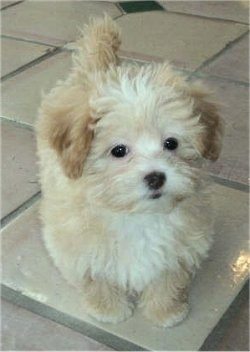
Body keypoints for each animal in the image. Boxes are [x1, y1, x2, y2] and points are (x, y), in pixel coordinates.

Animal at [36, 14, 225, 328]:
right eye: (119, 151)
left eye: (171, 143)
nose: (156, 177)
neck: (138, 217)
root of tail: (99, 67)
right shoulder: (77, 246)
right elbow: (95, 279)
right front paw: (108, 310)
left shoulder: (181, 247)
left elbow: (168, 279)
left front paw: (166, 312)